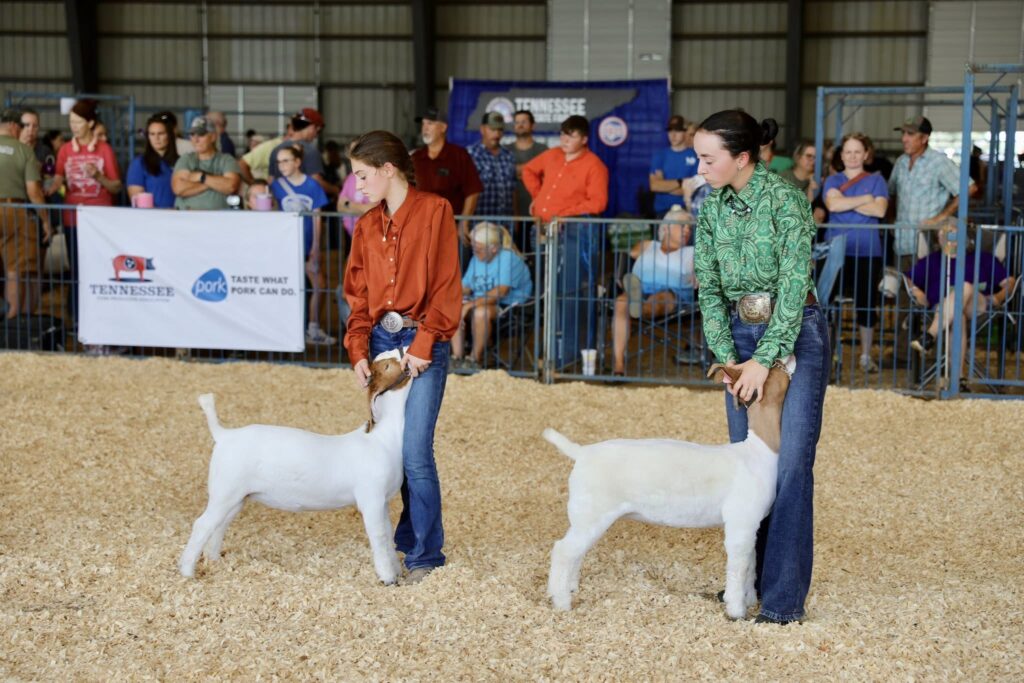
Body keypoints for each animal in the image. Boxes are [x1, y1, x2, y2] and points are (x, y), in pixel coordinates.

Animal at [178, 349, 412, 585]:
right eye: (387, 366)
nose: (401, 350)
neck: (383, 439)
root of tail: (225, 435)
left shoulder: (383, 501)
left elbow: (388, 533)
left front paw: (396, 571)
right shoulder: (371, 499)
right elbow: (379, 537)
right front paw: (387, 577)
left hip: (236, 497)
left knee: (220, 524)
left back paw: (214, 558)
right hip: (225, 491)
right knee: (202, 524)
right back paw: (187, 571)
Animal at [544, 356, 795, 619]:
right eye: (775, 369)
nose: (786, 357)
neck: (759, 451)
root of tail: (582, 453)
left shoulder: (751, 526)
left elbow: (751, 564)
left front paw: (750, 600)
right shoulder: (741, 522)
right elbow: (739, 566)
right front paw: (736, 610)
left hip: (585, 518)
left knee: (574, 552)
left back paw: (569, 588)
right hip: (592, 514)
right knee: (562, 551)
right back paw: (561, 601)